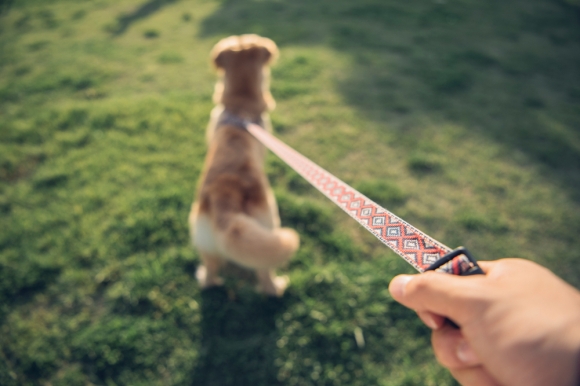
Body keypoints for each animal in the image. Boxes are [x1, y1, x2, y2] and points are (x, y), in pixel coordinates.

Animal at [189, 34, 302, 298]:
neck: (240, 107)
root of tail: (224, 195)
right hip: (269, 222)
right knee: (265, 276)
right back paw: (277, 287)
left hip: (203, 241)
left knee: (210, 273)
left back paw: (205, 278)